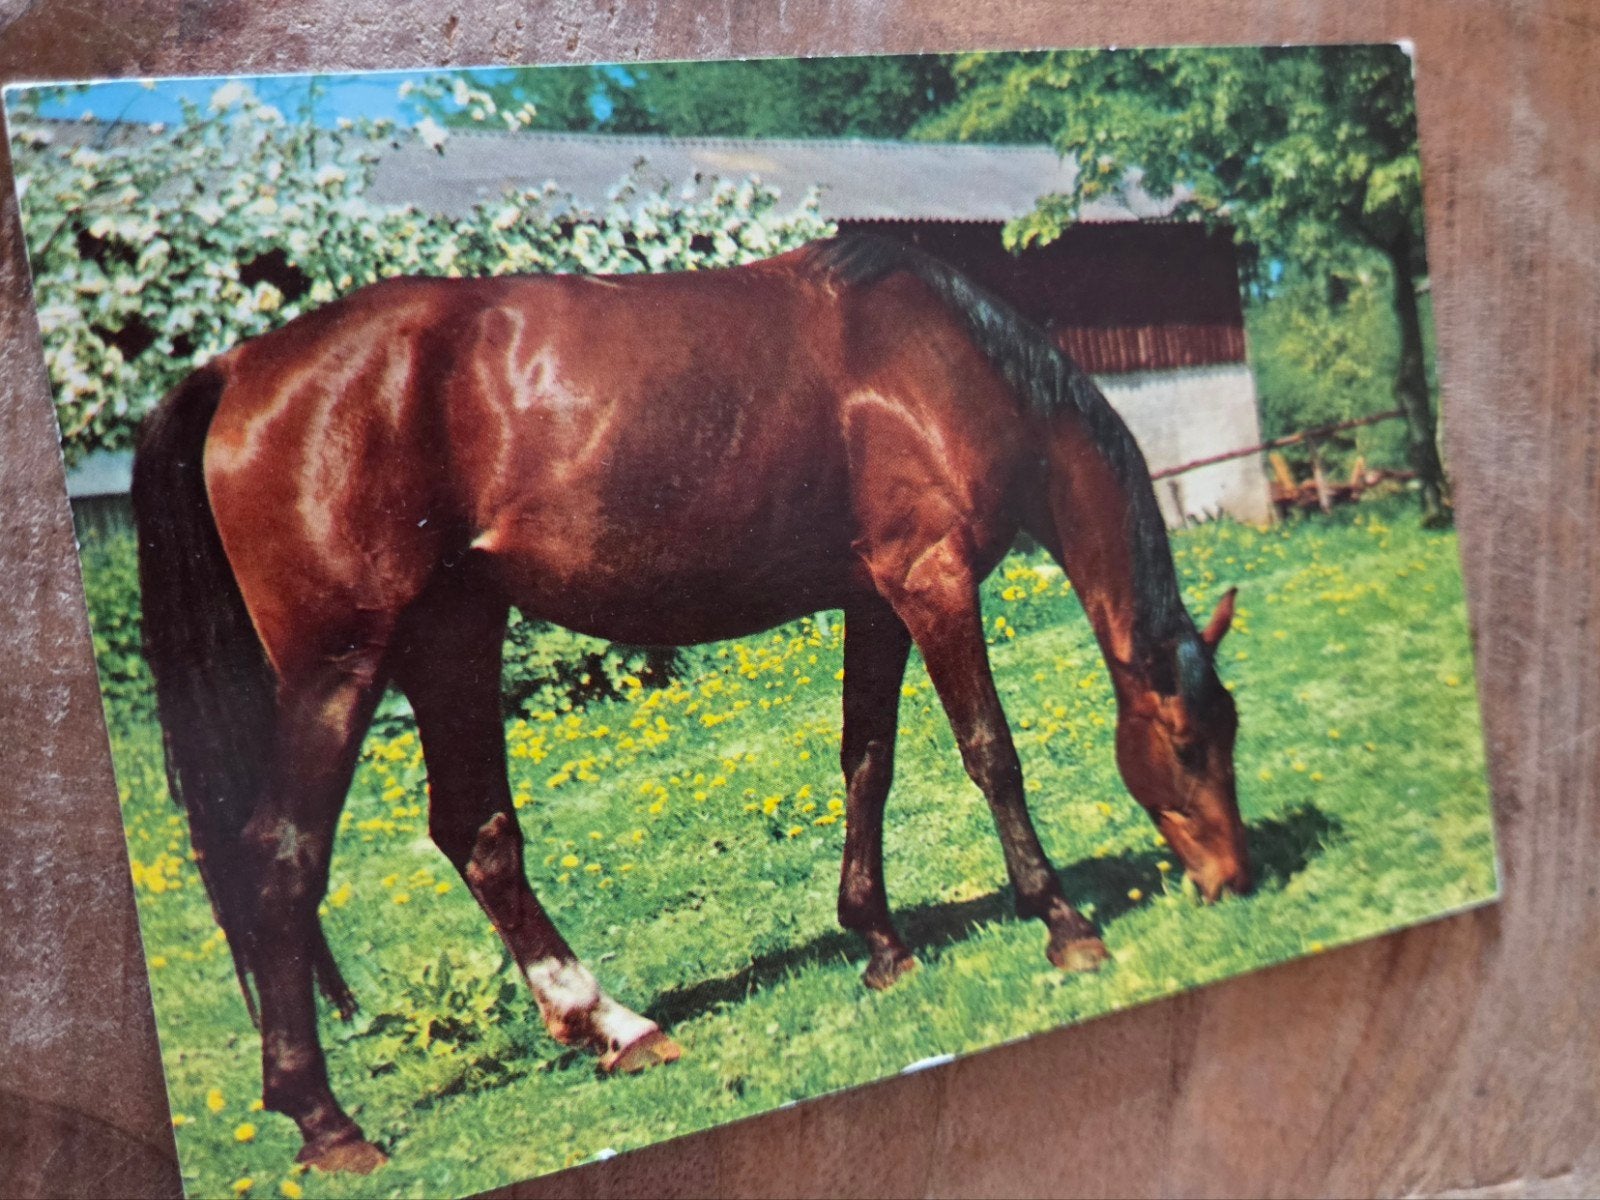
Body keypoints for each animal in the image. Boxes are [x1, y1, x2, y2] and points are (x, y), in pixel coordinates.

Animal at [131, 232, 1249, 1173]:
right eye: (1189, 743)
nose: (1231, 879)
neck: (933, 361)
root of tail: (243, 368)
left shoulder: (873, 599)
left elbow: (868, 760)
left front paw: (880, 944)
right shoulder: (931, 583)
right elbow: (988, 750)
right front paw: (1064, 924)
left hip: (453, 638)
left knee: (476, 834)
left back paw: (614, 1026)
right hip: (339, 672)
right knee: (284, 860)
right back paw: (327, 1123)